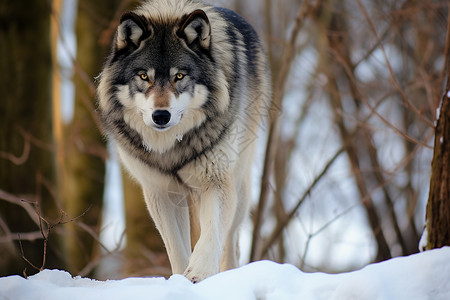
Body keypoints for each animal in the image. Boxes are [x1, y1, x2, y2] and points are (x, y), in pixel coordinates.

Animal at [97, 0, 270, 282]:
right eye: (144, 76)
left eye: (179, 76)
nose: (161, 115)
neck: (170, 147)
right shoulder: (160, 192)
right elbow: (177, 248)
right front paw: (181, 279)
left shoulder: (216, 182)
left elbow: (211, 235)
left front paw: (200, 273)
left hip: (240, 185)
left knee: (230, 241)